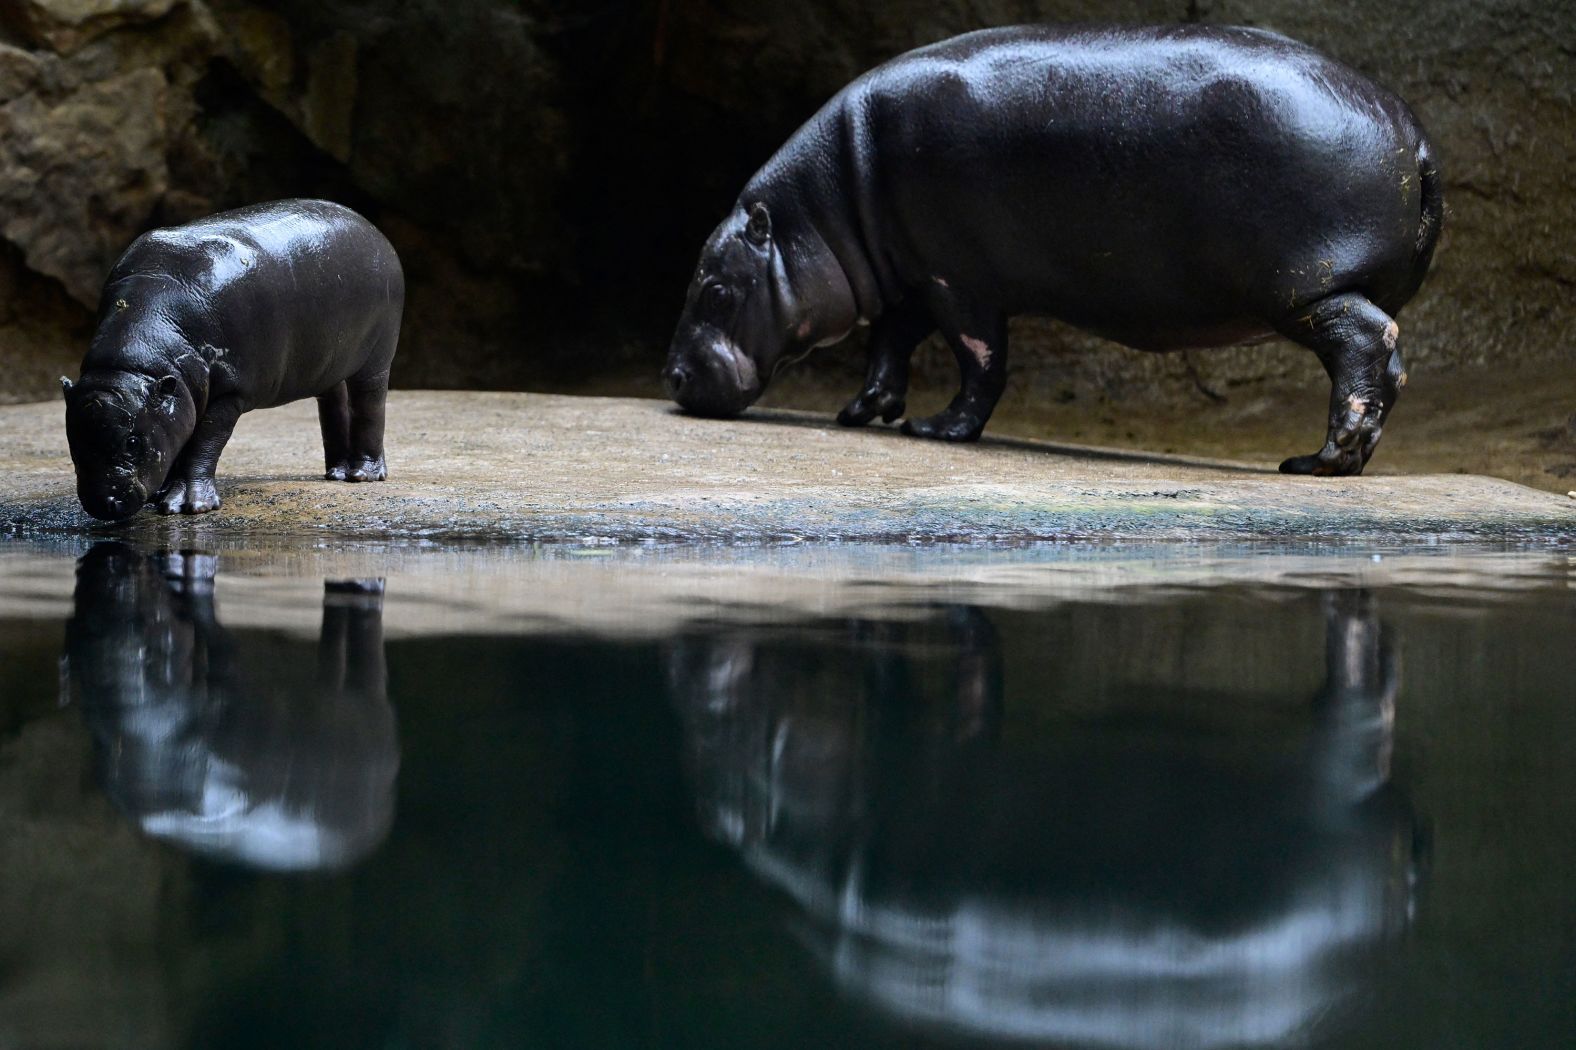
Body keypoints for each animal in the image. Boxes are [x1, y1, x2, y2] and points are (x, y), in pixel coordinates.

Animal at [59, 198, 406, 517]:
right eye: (71, 437)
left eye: (132, 442)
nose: (102, 503)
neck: (137, 364)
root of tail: (374, 230)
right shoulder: (180, 398)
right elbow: (180, 436)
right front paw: (164, 497)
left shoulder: (229, 394)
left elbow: (202, 444)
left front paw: (188, 505)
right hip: (329, 362)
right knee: (333, 403)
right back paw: (337, 473)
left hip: (377, 356)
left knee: (369, 403)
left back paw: (363, 475)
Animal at [665, 24, 1443, 472]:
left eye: (715, 288)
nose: (671, 377)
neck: (830, 203)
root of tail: (1418, 138)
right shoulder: (918, 270)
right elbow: (890, 338)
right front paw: (862, 411)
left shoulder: (958, 281)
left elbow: (979, 362)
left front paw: (937, 429)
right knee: (1393, 363)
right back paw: (1340, 462)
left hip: (1308, 290)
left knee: (1367, 345)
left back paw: (1318, 461)